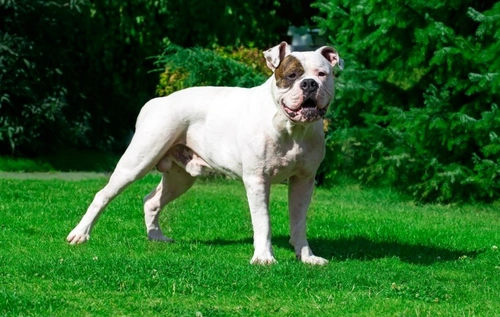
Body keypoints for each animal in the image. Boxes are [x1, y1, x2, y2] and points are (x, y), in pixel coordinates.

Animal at [66, 42, 342, 264]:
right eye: (292, 75)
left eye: (322, 74)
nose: (310, 84)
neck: (291, 128)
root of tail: (158, 101)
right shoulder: (257, 180)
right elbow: (263, 221)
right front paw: (264, 258)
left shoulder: (303, 181)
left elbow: (299, 222)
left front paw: (306, 256)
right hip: (137, 162)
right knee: (103, 195)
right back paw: (80, 234)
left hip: (181, 178)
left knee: (152, 200)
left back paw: (156, 237)